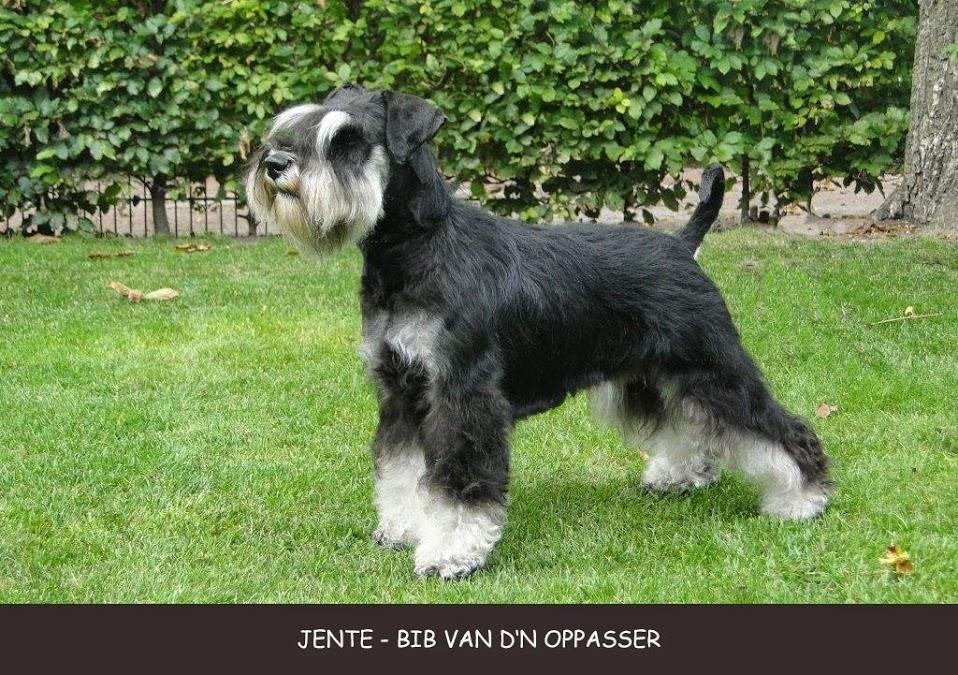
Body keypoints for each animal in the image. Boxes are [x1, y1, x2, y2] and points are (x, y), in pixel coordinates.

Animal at [246, 85, 832, 579]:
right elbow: (400, 471)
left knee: (775, 426)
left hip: (710, 366)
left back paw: (804, 499)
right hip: (647, 375)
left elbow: (457, 484)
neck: (413, 251)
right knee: (687, 422)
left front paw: (449, 554)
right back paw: (681, 476)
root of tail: (681, 246)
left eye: (347, 140)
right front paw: (402, 529)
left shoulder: (462, 394)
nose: (273, 165)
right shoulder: (401, 392)